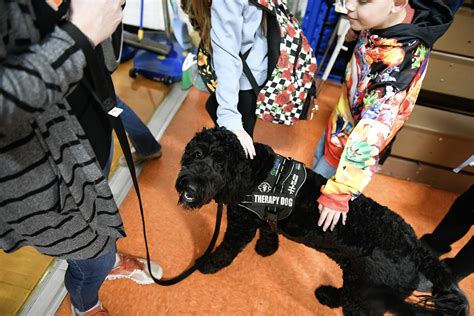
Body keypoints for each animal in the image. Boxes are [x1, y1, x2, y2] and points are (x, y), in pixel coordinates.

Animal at [176, 127, 468, 314]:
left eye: (220, 166)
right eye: (198, 154)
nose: (190, 186)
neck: (255, 174)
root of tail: (418, 251)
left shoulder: (240, 225)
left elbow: (226, 250)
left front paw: (207, 264)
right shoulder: (264, 217)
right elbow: (270, 230)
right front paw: (268, 248)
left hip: (365, 296)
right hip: (358, 283)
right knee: (345, 294)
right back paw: (327, 295)